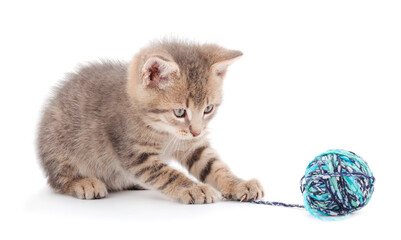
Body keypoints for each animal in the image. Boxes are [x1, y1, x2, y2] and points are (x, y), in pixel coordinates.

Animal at [36, 39, 262, 202]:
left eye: (208, 109)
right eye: (179, 112)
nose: (197, 131)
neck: (161, 130)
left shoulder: (193, 146)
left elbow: (213, 165)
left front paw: (239, 184)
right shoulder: (137, 155)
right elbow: (168, 174)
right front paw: (194, 189)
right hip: (59, 143)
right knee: (59, 178)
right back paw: (83, 183)